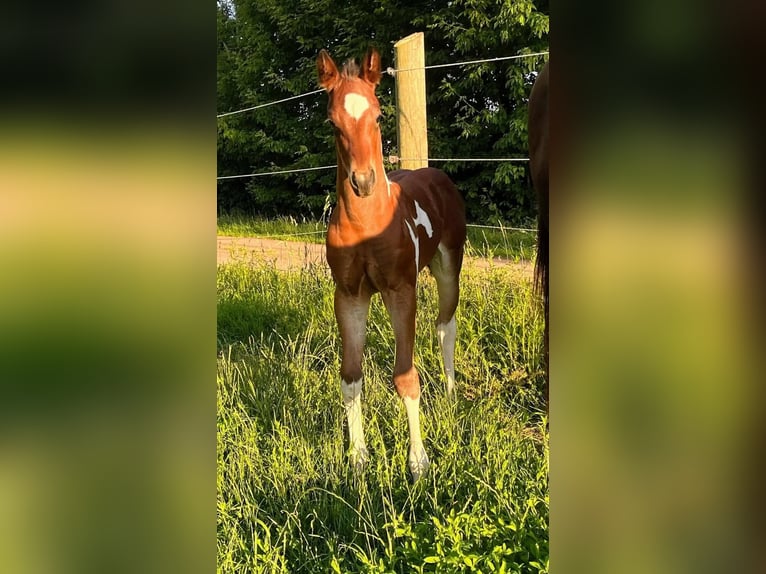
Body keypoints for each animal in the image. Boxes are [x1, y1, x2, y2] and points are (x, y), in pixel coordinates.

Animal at [318, 48, 468, 482]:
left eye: (379, 115)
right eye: (332, 122)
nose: (364, 182)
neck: (366, 225)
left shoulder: (401, 291)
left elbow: (405, 375)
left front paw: (418, 462)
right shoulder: (349, 296)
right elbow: (351, 376)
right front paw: (357, 456)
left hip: (448, 266)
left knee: (445, 325)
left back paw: (451, 394)